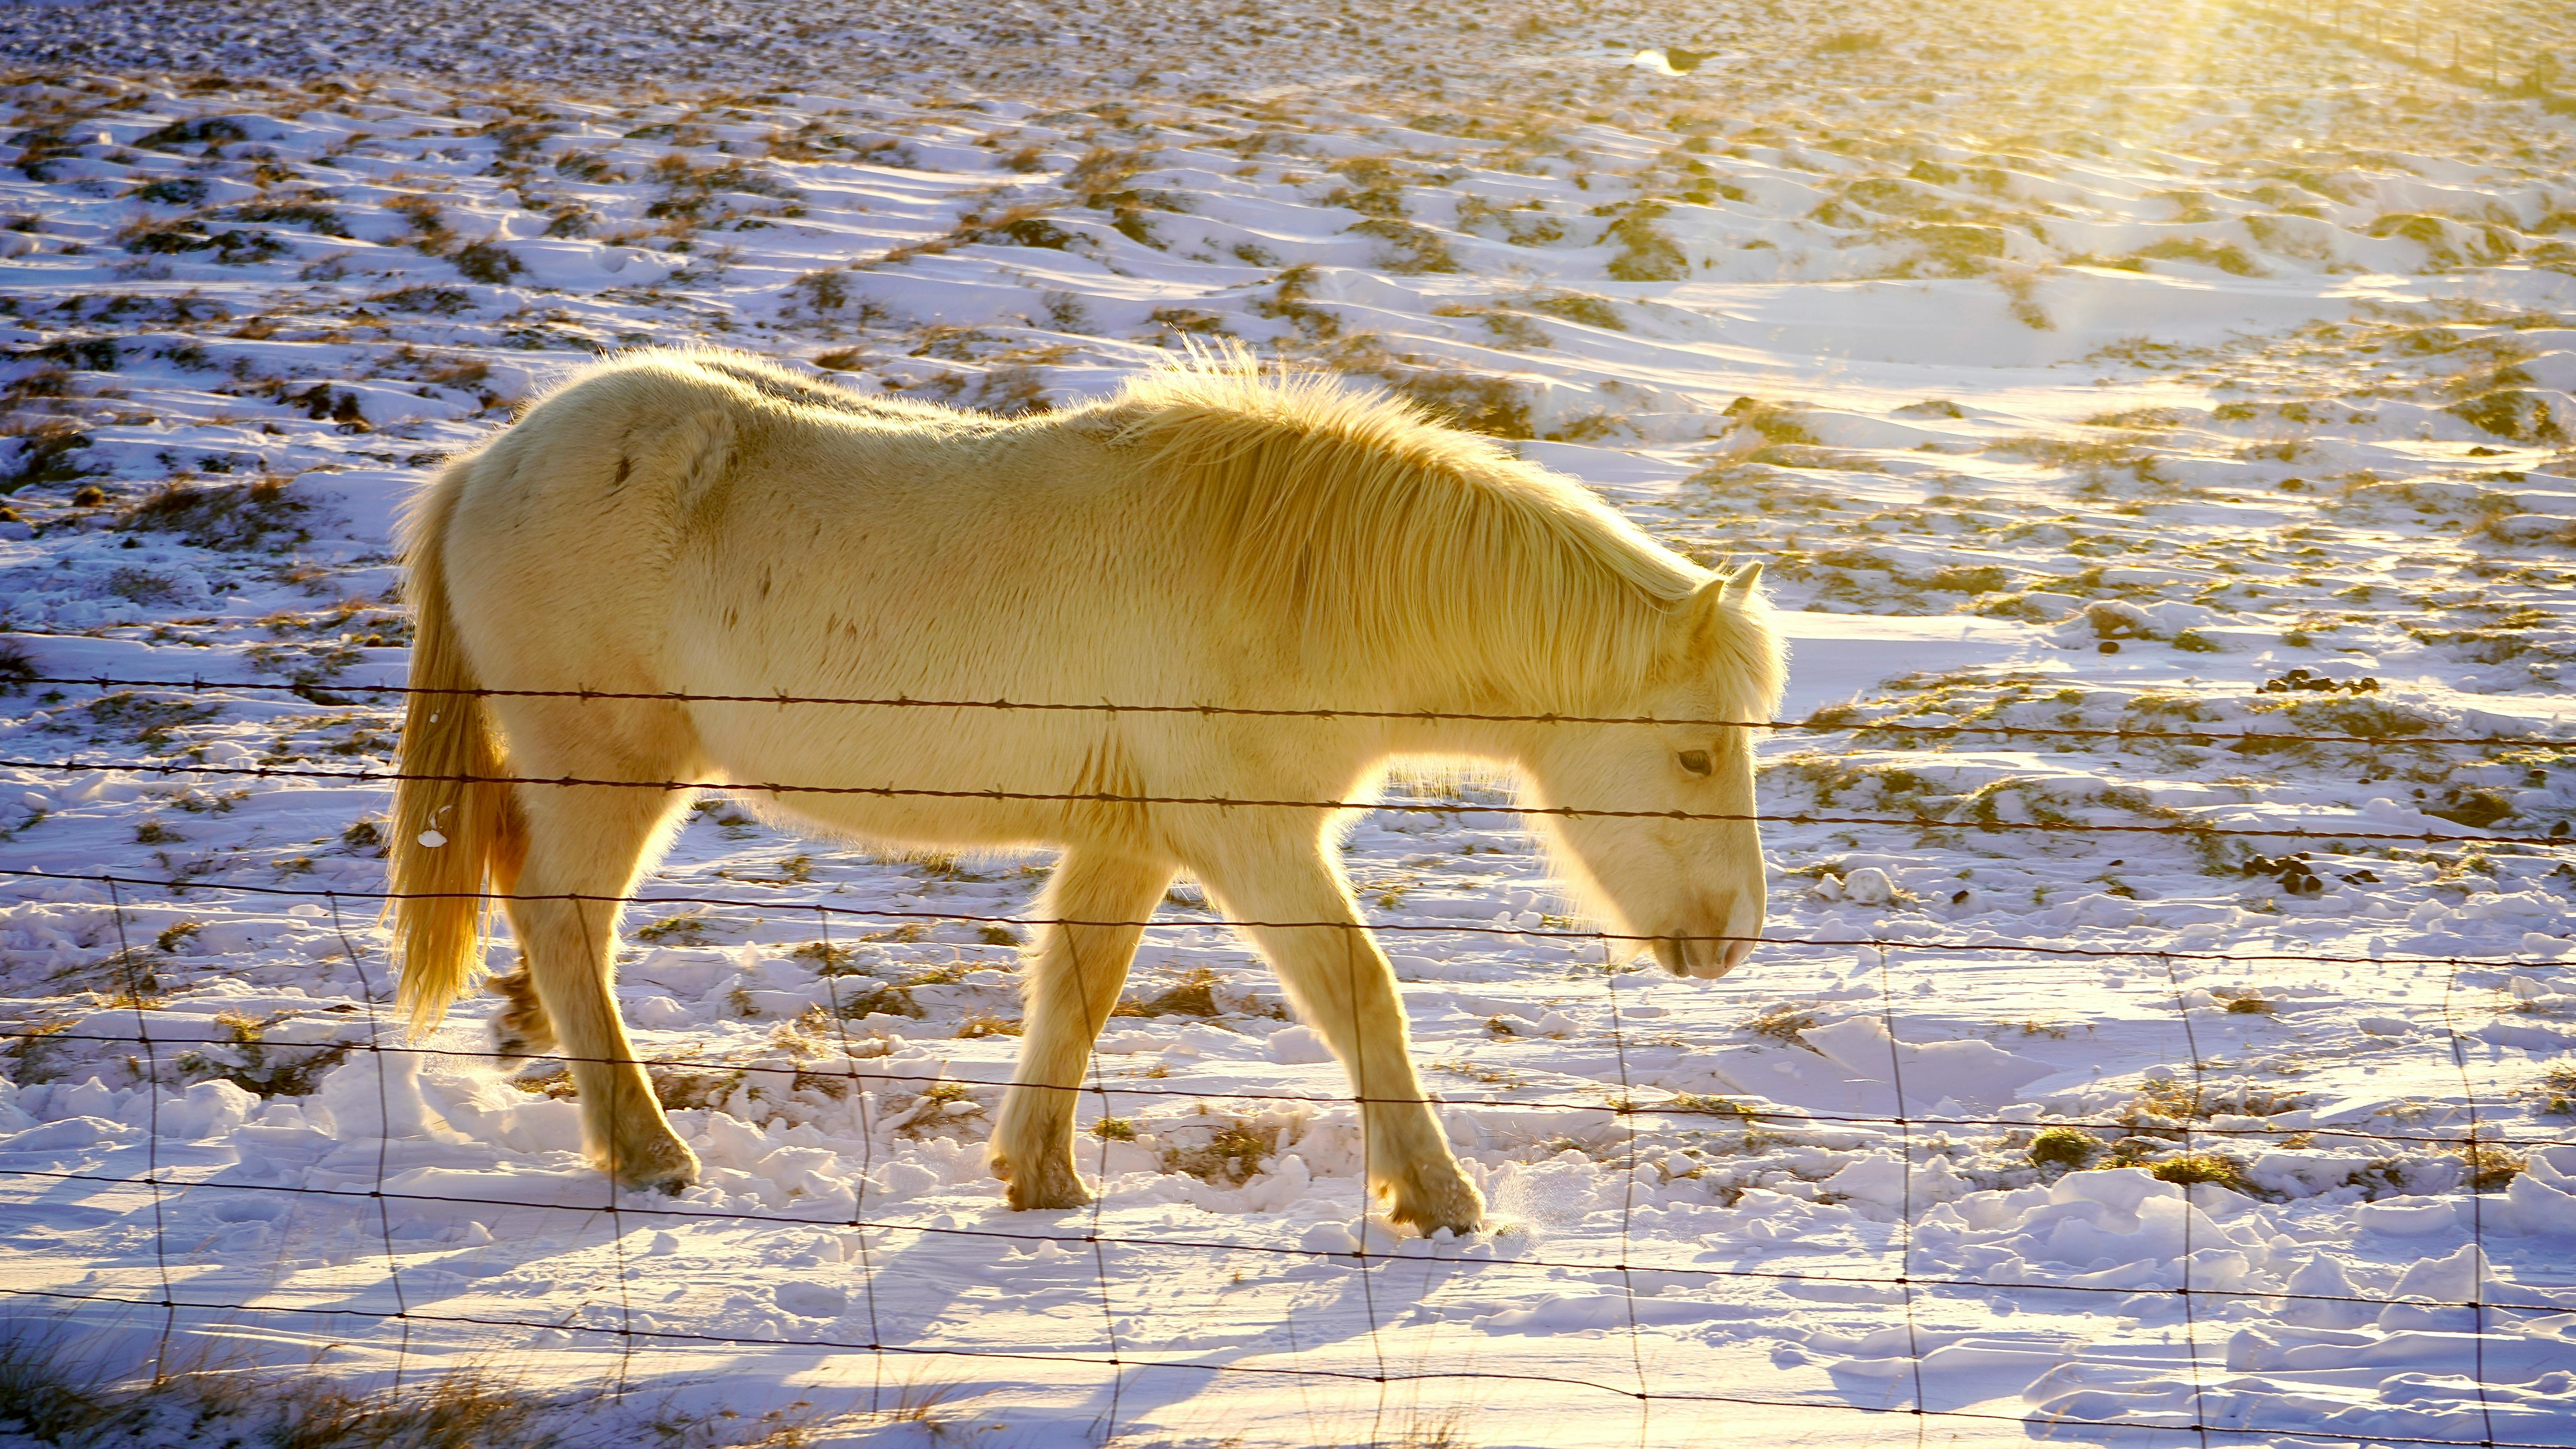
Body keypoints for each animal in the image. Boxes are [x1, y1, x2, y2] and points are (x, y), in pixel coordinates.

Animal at [392, 345, 1783, 1230]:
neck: (1292, 583)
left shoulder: (1133, 839)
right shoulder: (1254, 843)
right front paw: (1436, 1199)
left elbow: (1076, 988)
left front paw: (1041, 1178)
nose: (1732, 940)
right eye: (1695, 754)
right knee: (567, 926)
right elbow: (1359, 996)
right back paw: (647, 1150)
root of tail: (488, 464)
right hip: (611, 769)